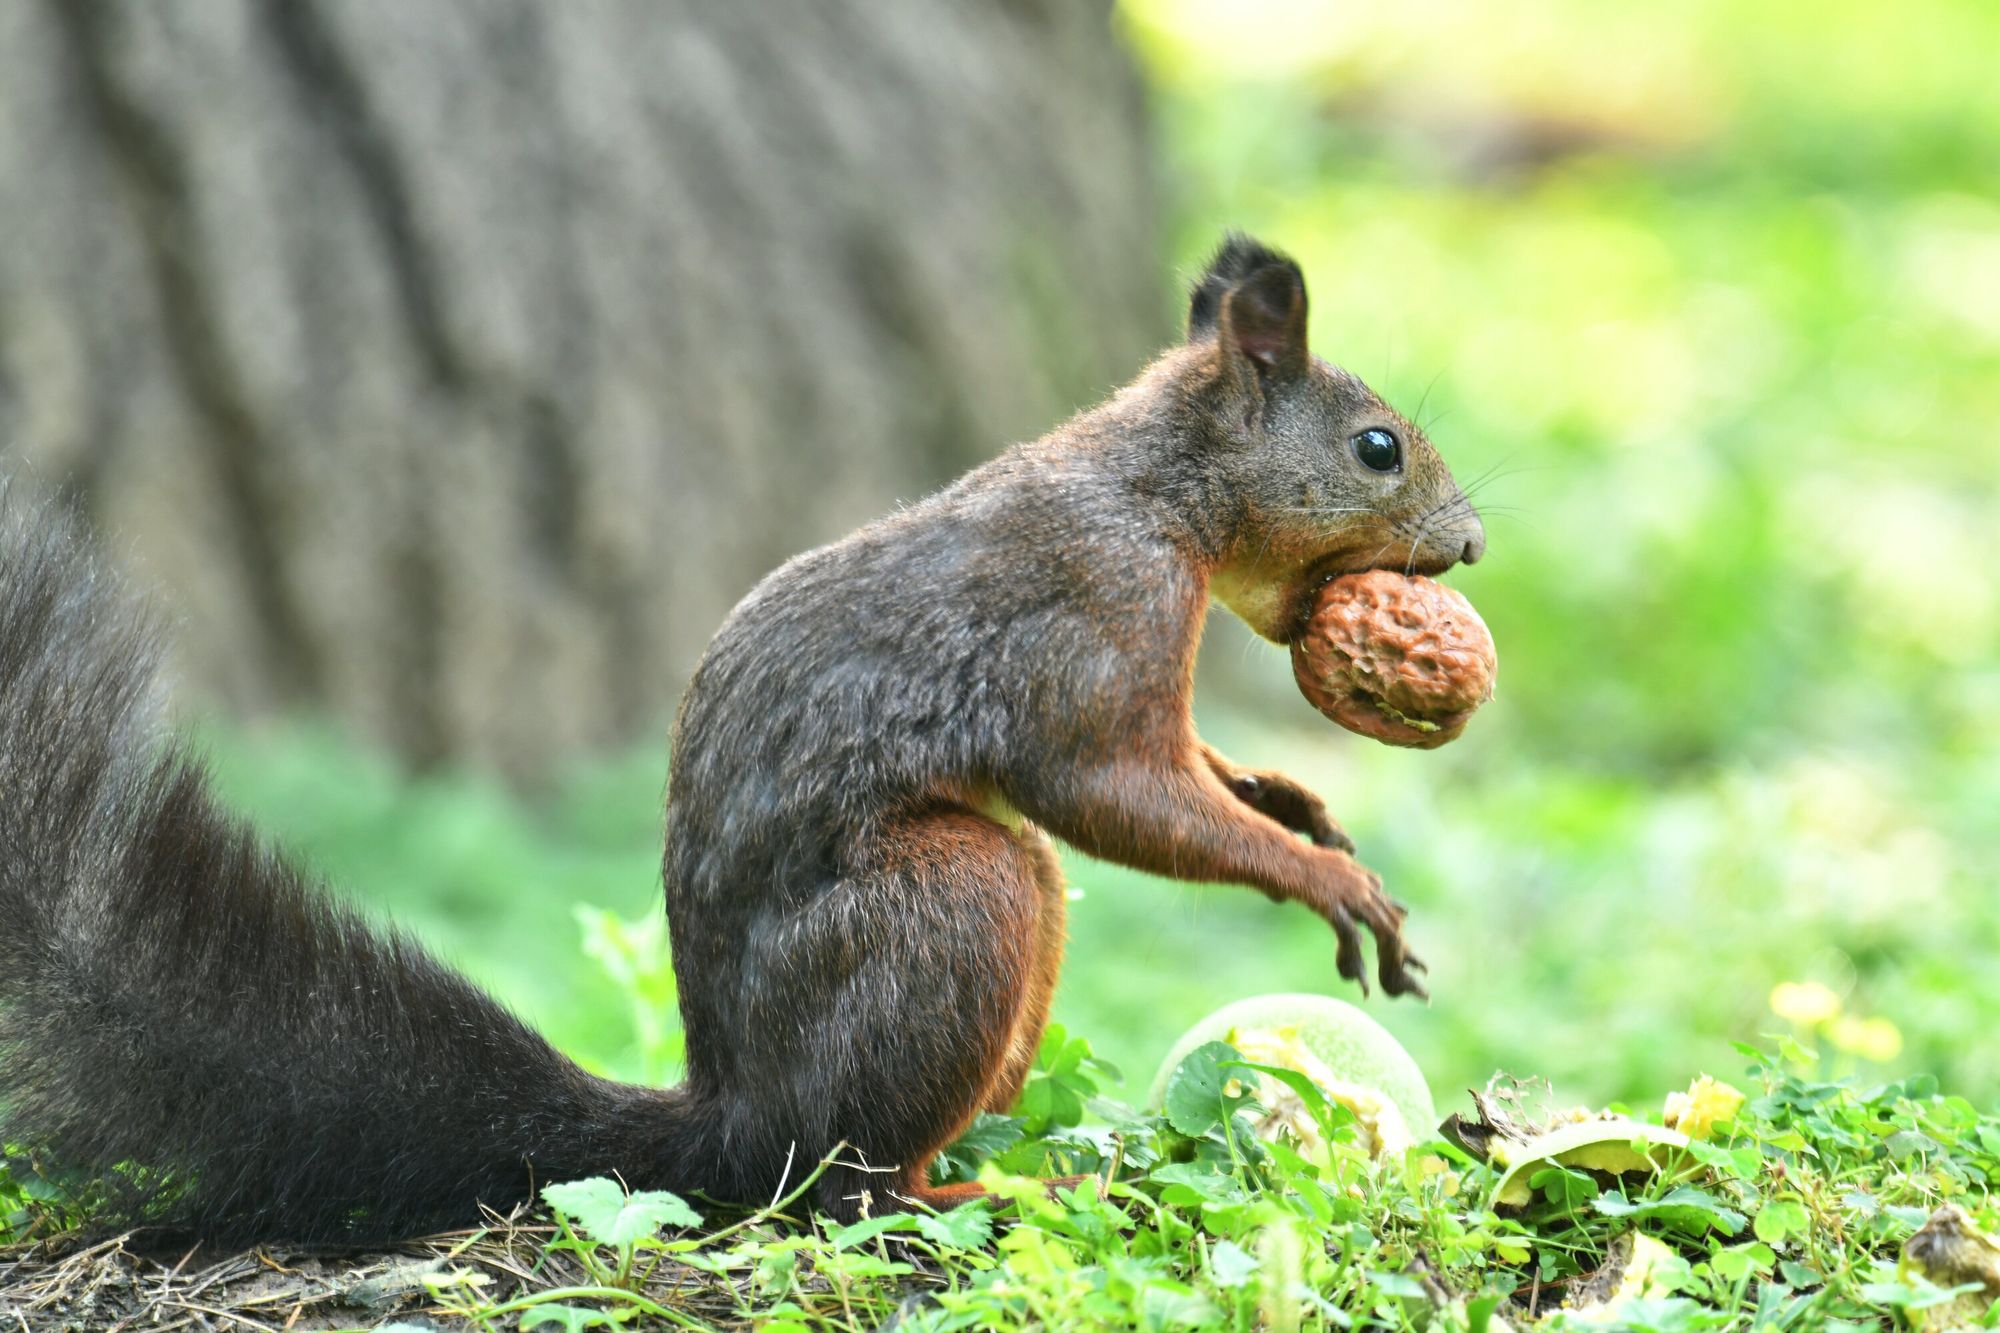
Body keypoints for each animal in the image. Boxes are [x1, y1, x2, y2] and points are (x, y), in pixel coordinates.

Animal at [0, 233, 1472, 1240]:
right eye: (1376, 446)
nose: (1468, 546)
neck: (1156, 491)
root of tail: (732, 1118)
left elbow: (1197, 779)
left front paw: (1293, 801)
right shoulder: (1089, 628)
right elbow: (1114, 791)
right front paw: (1329, 879)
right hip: (954, 904)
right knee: (846, 1187)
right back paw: (978, 1191)